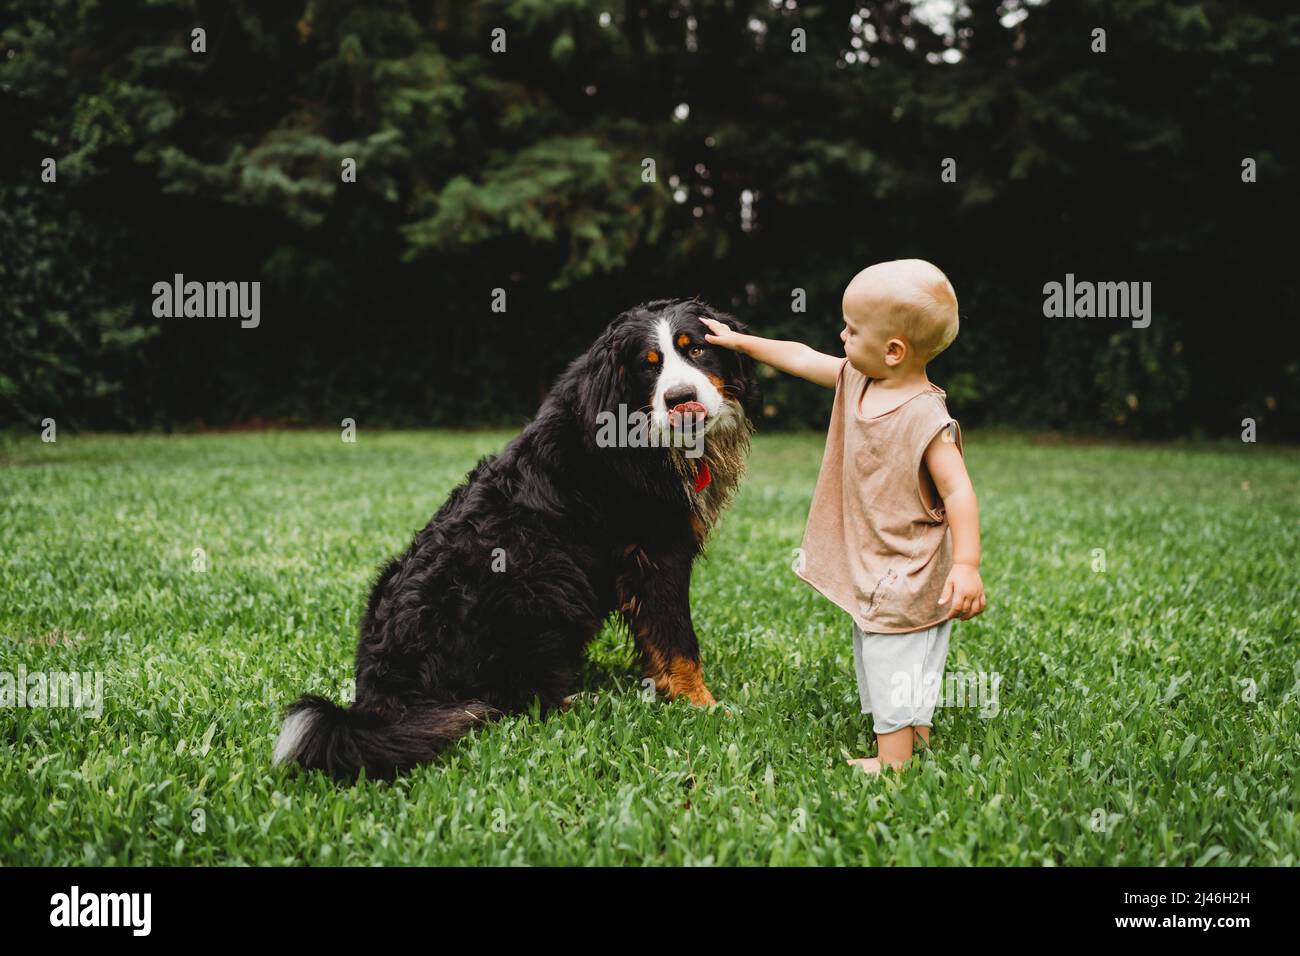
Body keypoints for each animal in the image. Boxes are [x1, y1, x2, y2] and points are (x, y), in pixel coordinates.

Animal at [274, 303, 759, 780]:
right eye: (648, 365)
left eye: (695, 349)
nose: (679, 398)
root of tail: (380, 691)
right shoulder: (660, 553)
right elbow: (680, 642)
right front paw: (703, 705)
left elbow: (659, 640)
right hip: (543, 575)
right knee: (512, 698)